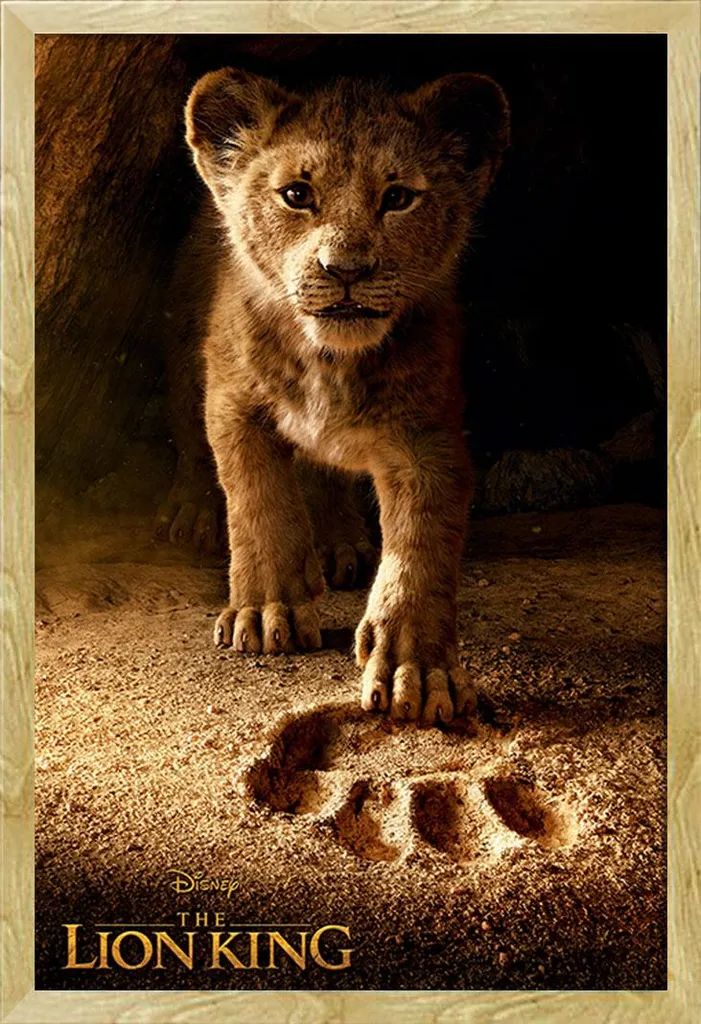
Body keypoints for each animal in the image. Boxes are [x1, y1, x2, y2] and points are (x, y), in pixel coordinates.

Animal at [171, 68, 509, 725]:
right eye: (297, 195)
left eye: (398, 198)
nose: (345, 269)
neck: (330, 360)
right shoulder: (233, 402)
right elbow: (259, 502)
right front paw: (266, 611)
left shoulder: (427, 438)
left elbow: (420, 547)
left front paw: (417, 669)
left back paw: (337, 543)